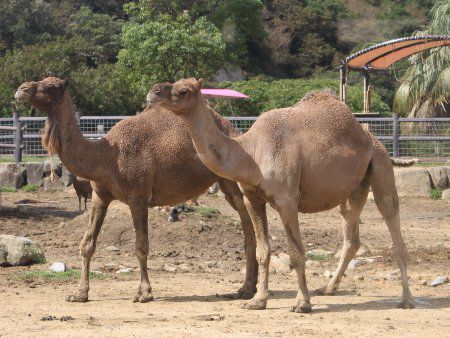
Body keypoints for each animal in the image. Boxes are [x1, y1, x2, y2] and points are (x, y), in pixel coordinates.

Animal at [14, 77, 258, 304]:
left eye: (50, 87)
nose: (21, 89)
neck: (106, 156)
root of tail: (234, 131)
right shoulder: (100, 196)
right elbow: (87, 243)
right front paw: (79, 293)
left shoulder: (138, 197)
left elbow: (141, 246)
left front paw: (145, 293)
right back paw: (250, 287)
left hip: (233, 181)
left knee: (248, 223)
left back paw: (246, 288)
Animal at [148, 78, 414, 312]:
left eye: (183, 90)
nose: (153, 92)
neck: (250, 153)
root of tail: (370, 138)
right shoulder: (252, 199)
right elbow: (263, 250)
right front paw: (257, 301)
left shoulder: (287, 199)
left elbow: (296, 251)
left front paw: (302, 303)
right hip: (354, 189)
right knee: (351, 234)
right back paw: (328, 289)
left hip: (380, 165)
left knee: (393, 223)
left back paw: (406, 299)